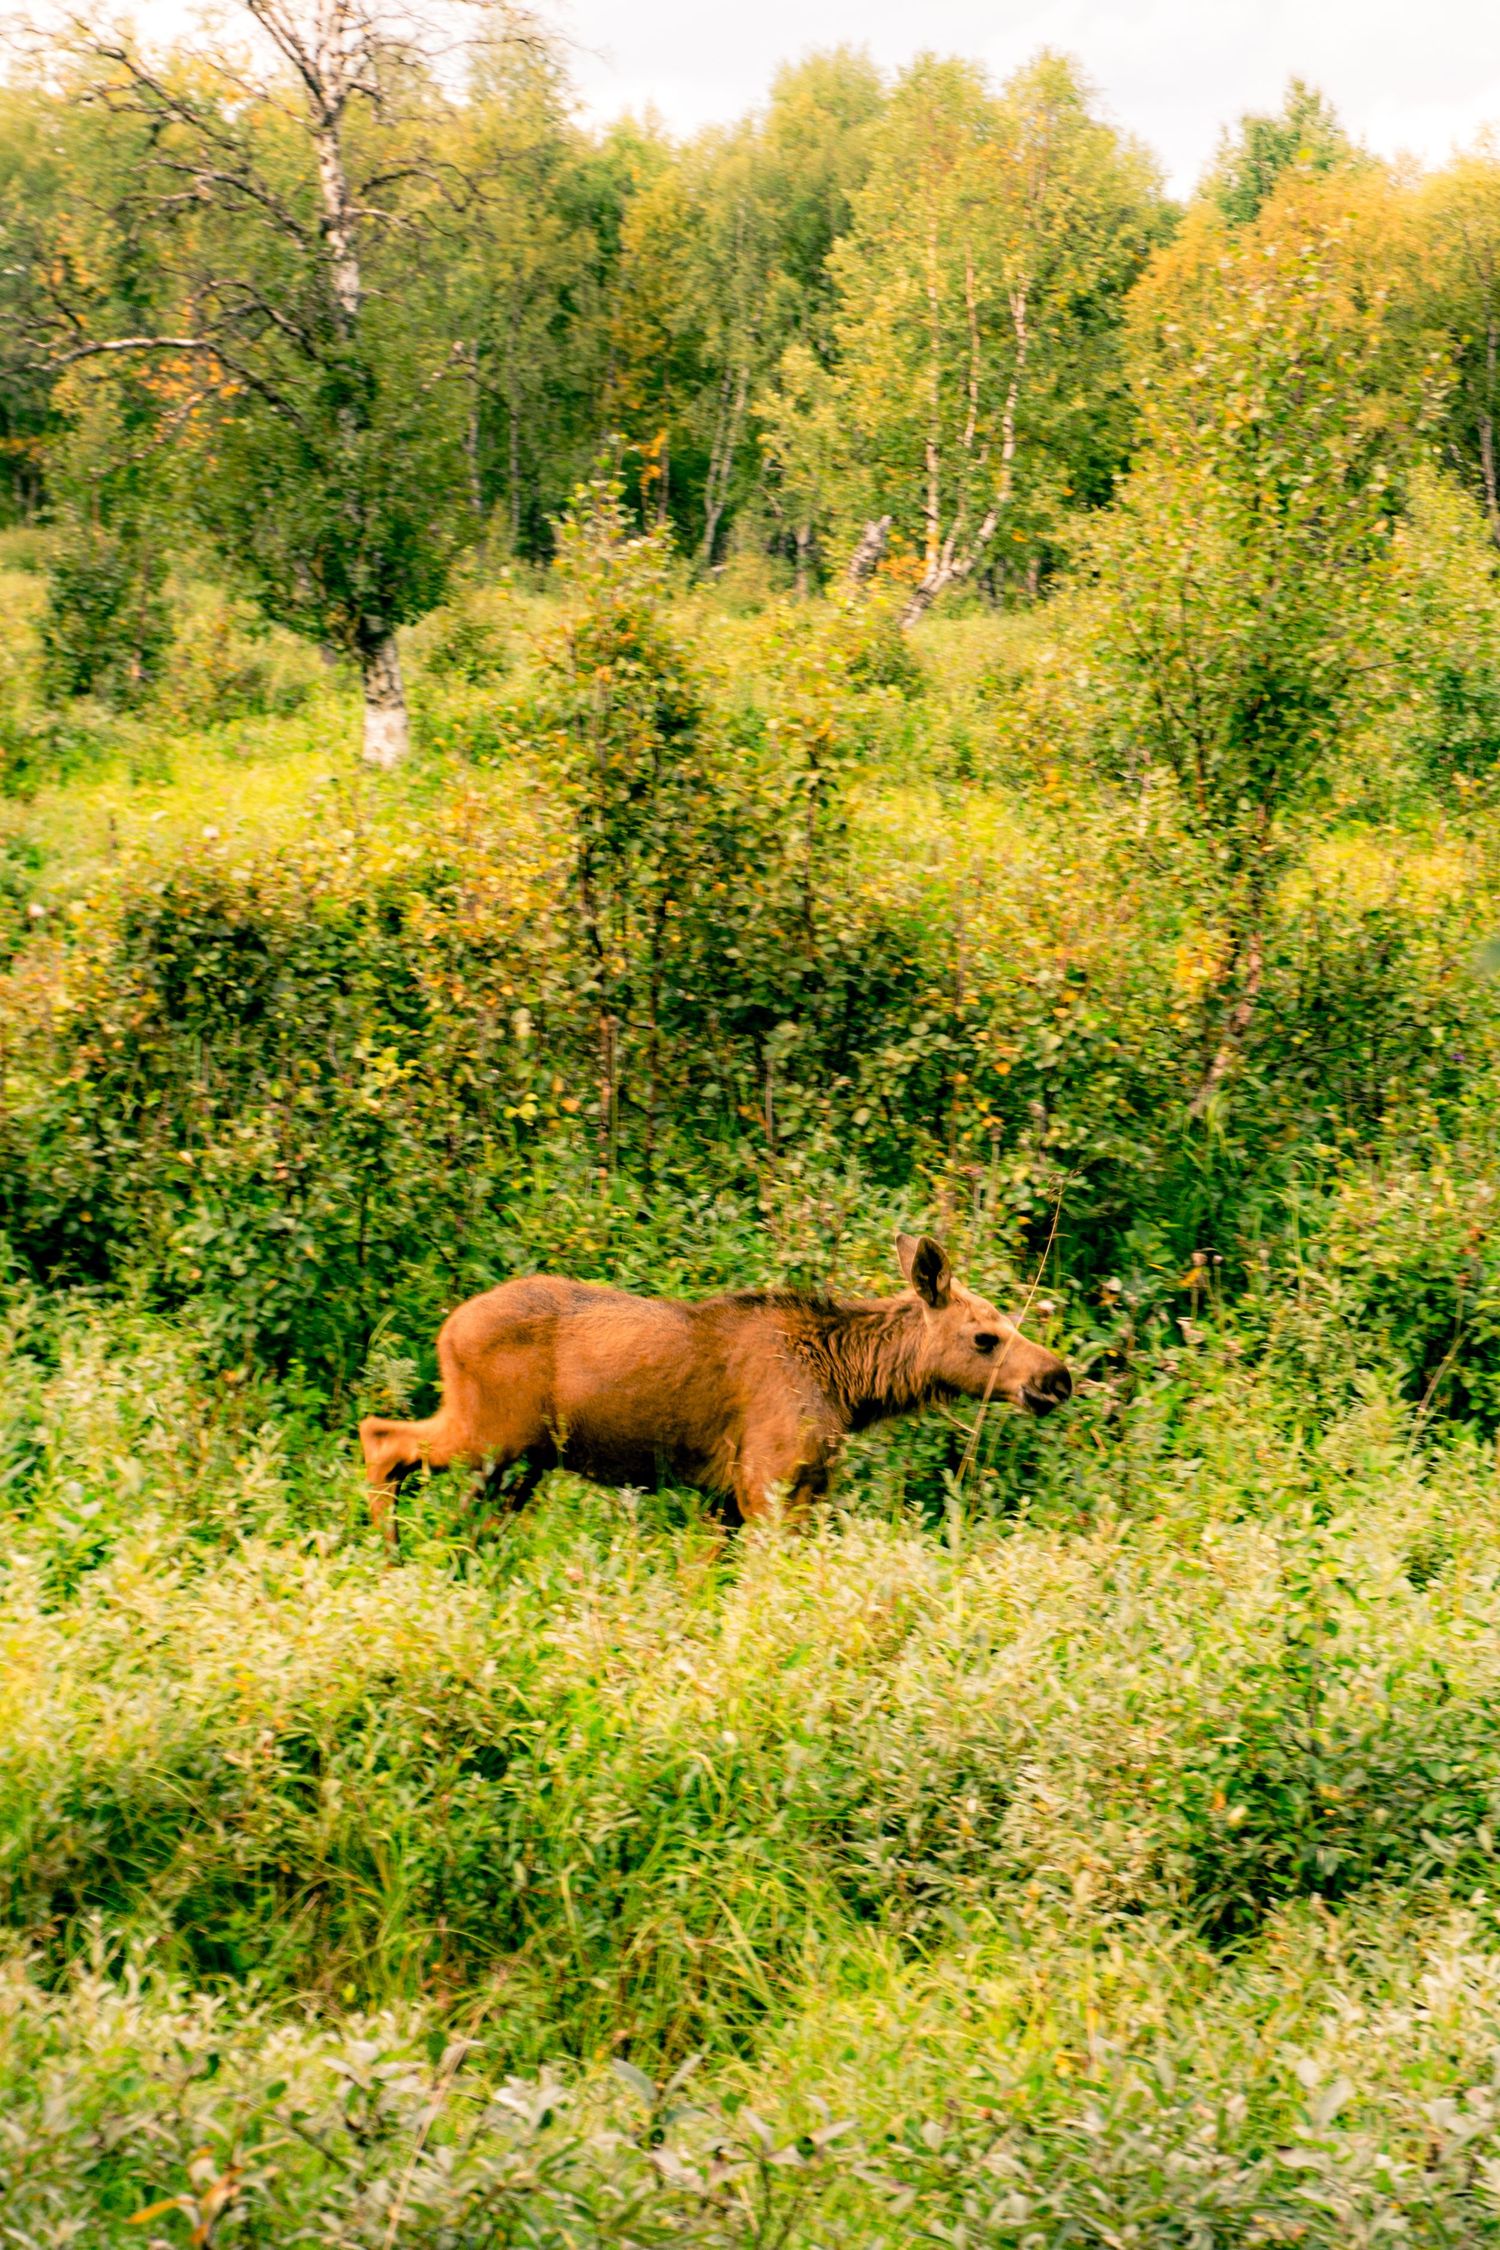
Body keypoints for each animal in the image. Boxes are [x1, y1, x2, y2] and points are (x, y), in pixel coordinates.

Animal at [358, 1232, 1071, 1551]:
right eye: (985, 1336)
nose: (1056, 1377)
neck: (850, 1388)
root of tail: (447, 1329)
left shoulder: (742, 1496)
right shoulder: (766, 1480)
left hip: (520, 1459)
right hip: (491, 1433)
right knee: (381, 1437)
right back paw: (389, 1555)